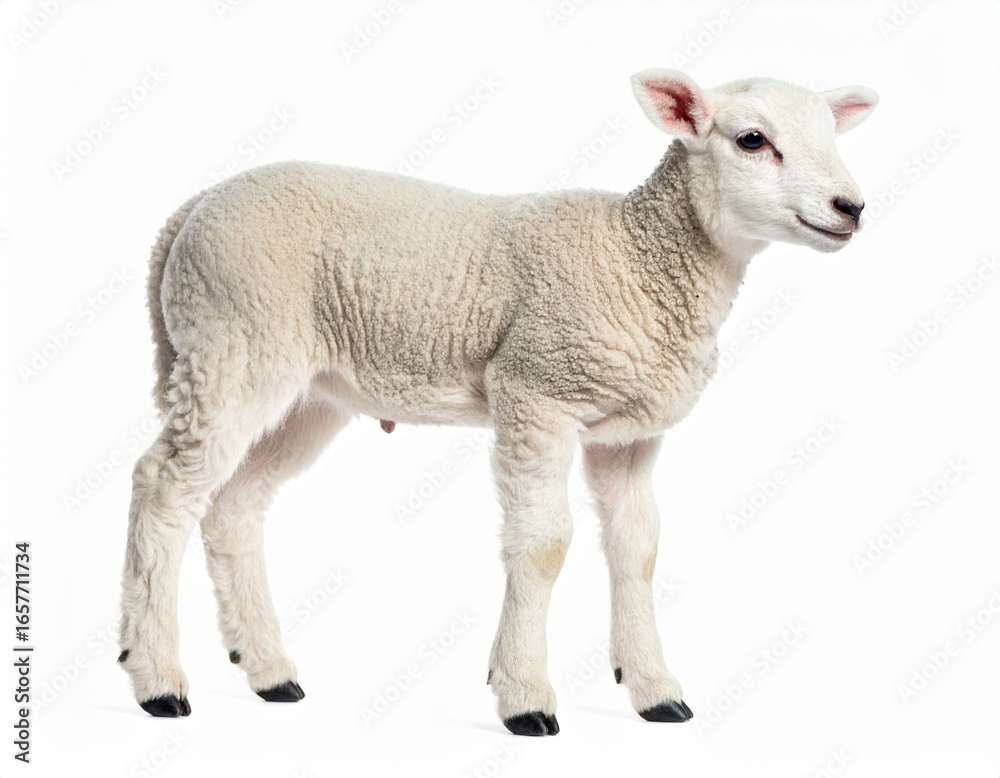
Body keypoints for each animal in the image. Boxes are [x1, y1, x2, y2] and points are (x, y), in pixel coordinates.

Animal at [117, 68, 877, 735]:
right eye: (752, 139)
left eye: (831, 135)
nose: (852, 208)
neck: (636, 257)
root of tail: (190, 210)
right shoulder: (534, 390)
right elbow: (544, 545)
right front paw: (525, 697)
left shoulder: (627, 432)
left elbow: (638, 548)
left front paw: (655, 690)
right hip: (232, 342)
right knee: (164, 486)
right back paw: (156, 678)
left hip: (308, 390)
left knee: (235, 505)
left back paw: (269, 671)